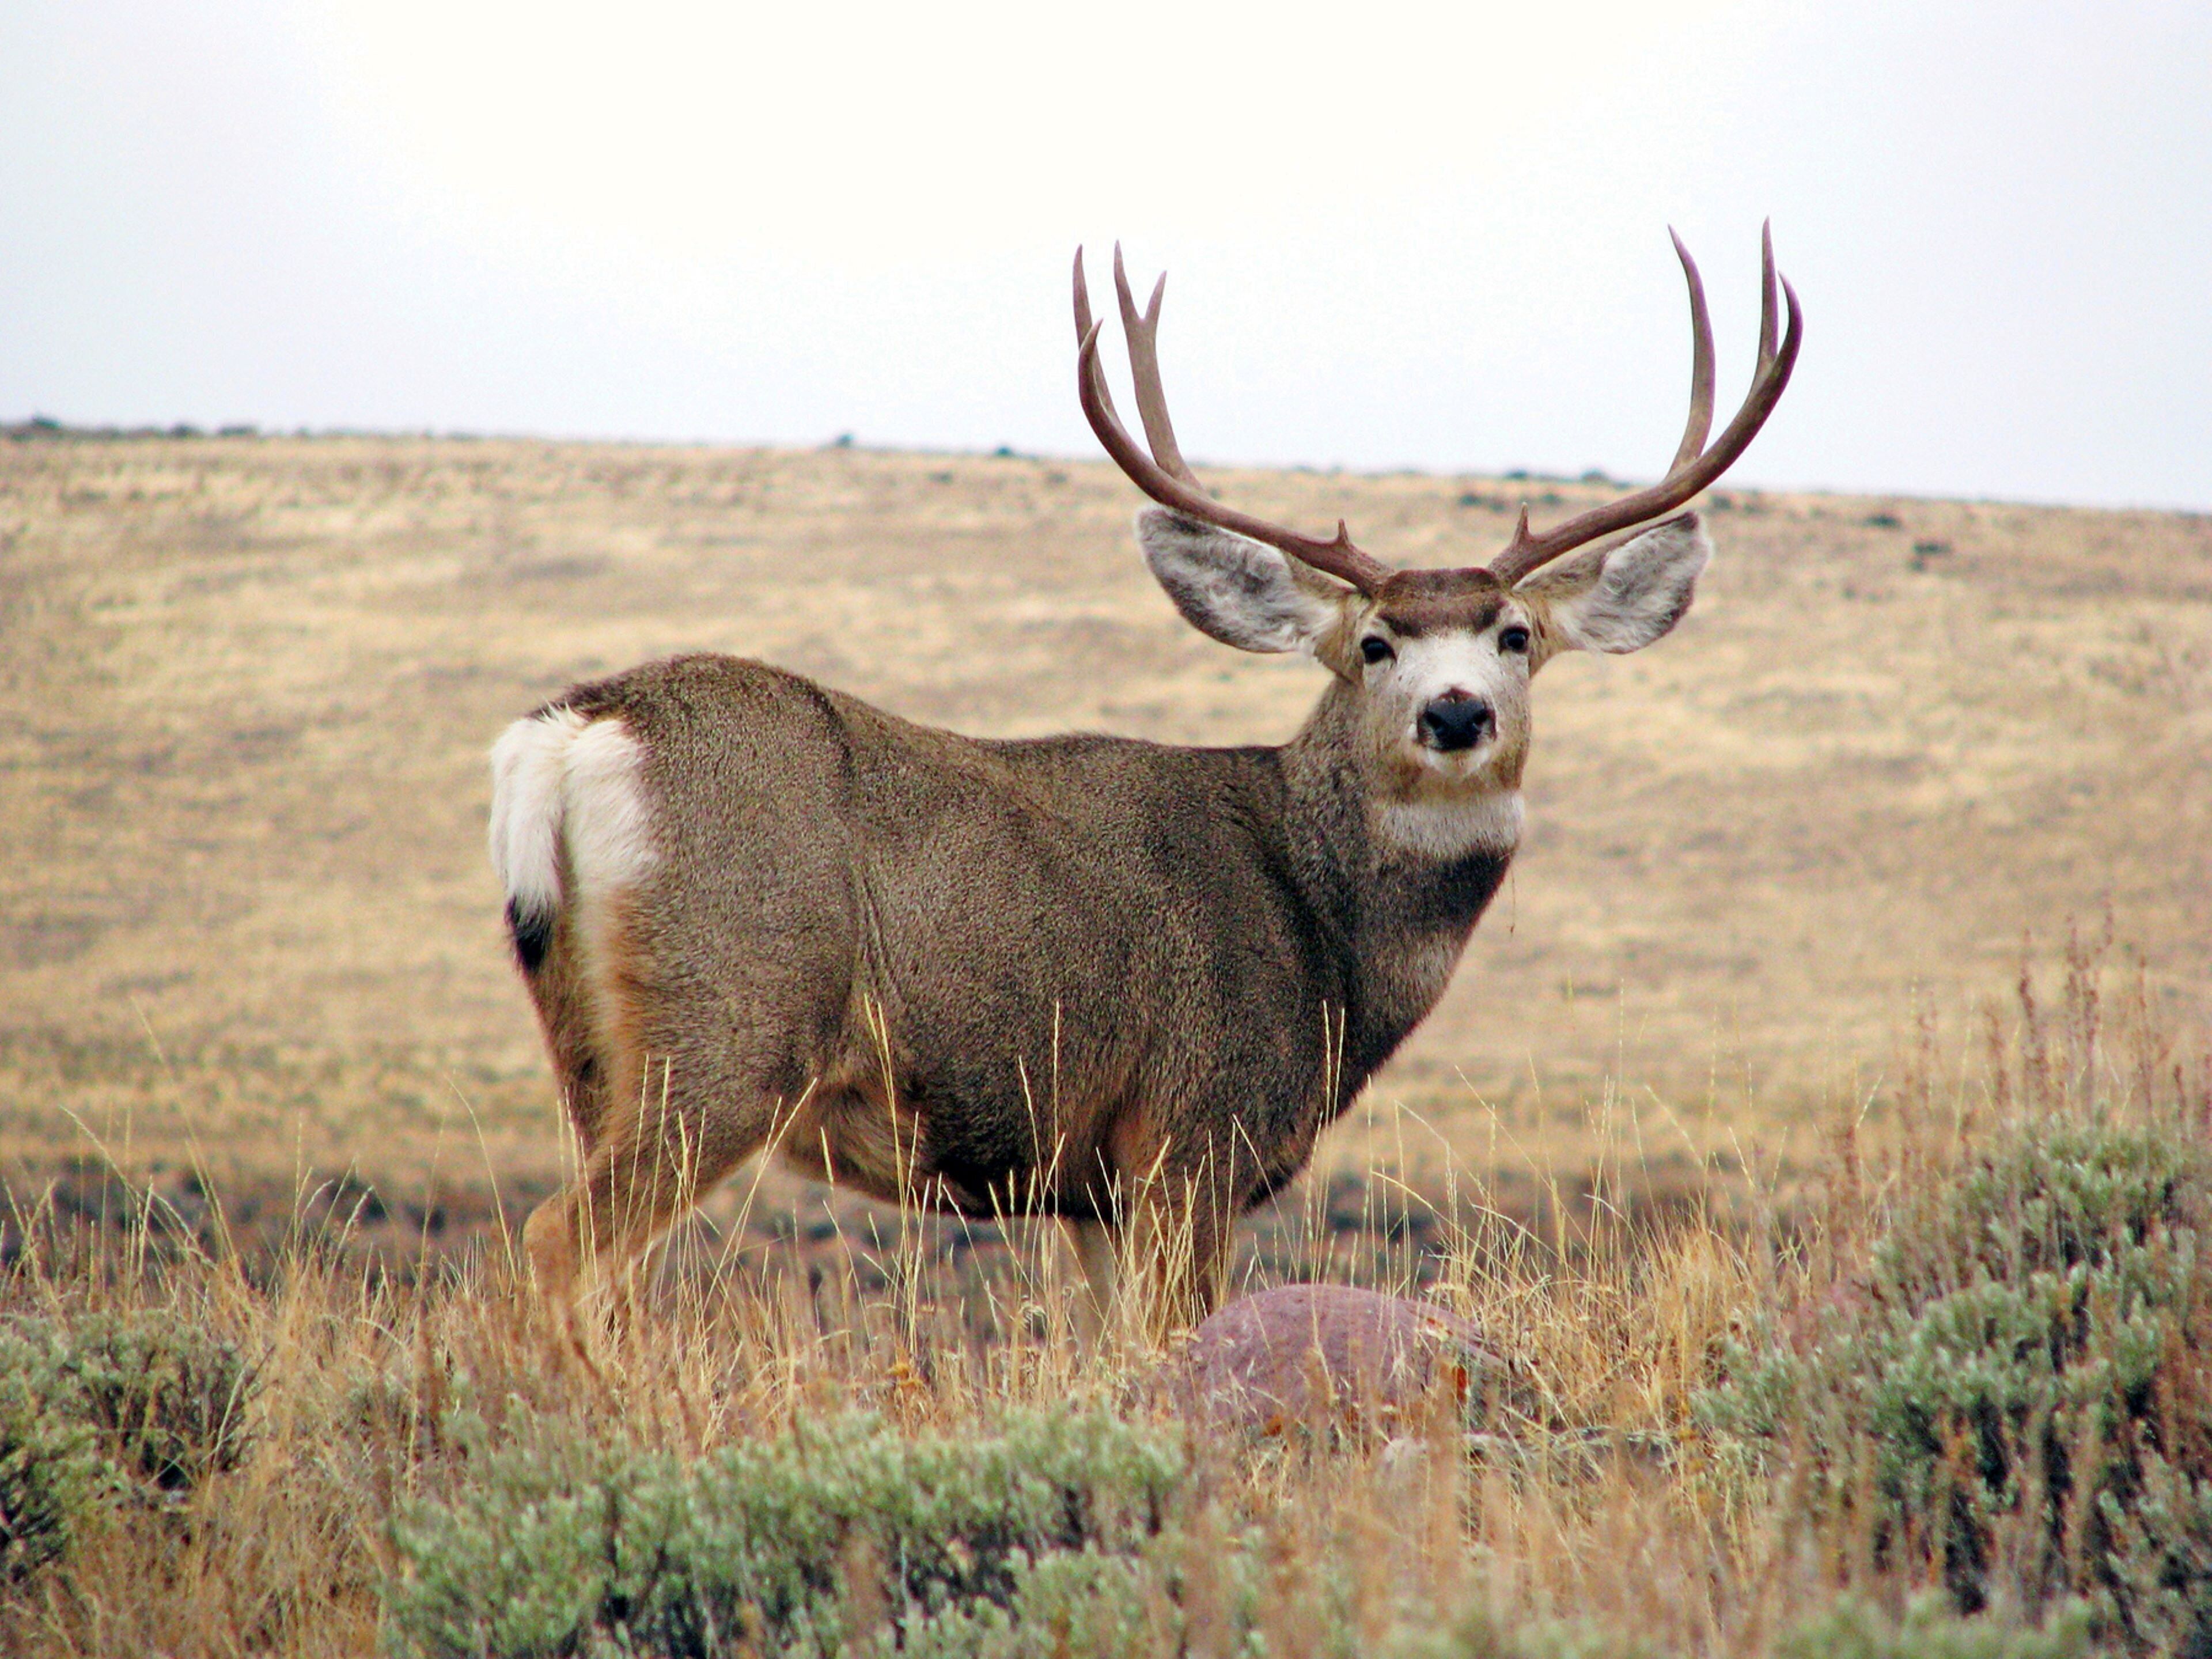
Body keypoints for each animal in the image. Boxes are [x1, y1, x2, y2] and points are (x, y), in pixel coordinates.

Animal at [489, 228, 1801, 1335]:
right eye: (1376, 644)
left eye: (1515, 637)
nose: (1456, 711)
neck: (1320, 925)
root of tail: (580, 728)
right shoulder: (1190, 1131)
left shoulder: (1091, 1188)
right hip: (726, 1026)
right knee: (558, 1242)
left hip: (589, 1045)